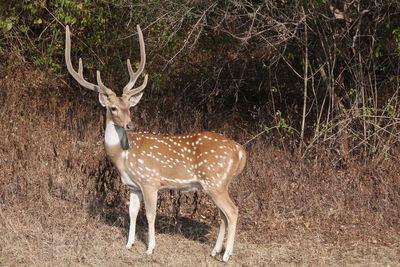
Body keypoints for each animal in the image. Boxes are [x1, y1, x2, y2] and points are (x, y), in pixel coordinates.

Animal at [65, 24, 245, 262]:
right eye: (113, 107)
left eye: (130, 107)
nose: (130, 125)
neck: (122, 156)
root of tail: (240, 151)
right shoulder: (133, 186)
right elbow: (132, 212)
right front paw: (129, 244)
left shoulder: (150, 180)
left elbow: (150, 214)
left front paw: (150, 248)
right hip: (220, 183)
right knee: (223, 214)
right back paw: (216, 251)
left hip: (215, 180)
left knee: (232, 211)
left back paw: (226, 255)